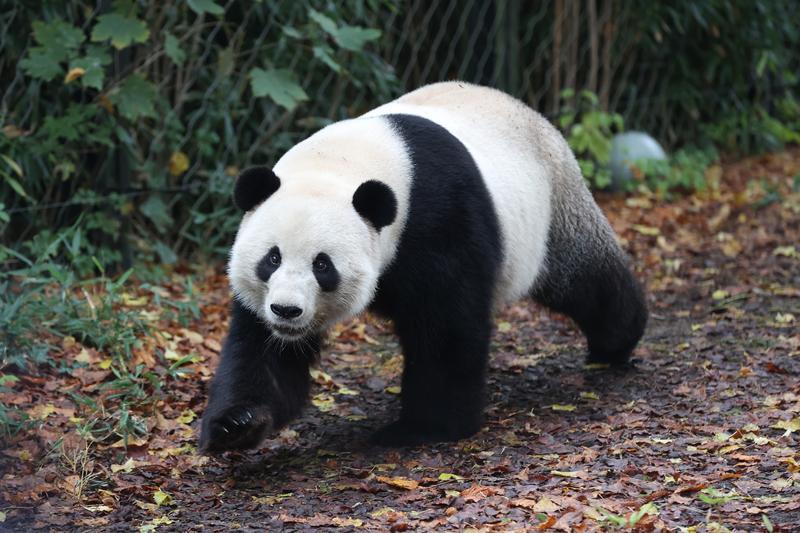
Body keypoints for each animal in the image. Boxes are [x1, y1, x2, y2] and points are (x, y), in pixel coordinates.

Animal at [197, 81, 648, 450]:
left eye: (322, 265)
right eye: (271, 258)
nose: (287, 311)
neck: (346, 163)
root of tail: (534, 114)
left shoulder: (438, 216)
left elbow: (446, 325)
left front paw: (425, 428)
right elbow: (261, 350)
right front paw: (237, 424)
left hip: (552, 211)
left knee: (586, 278)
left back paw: (617, 341)